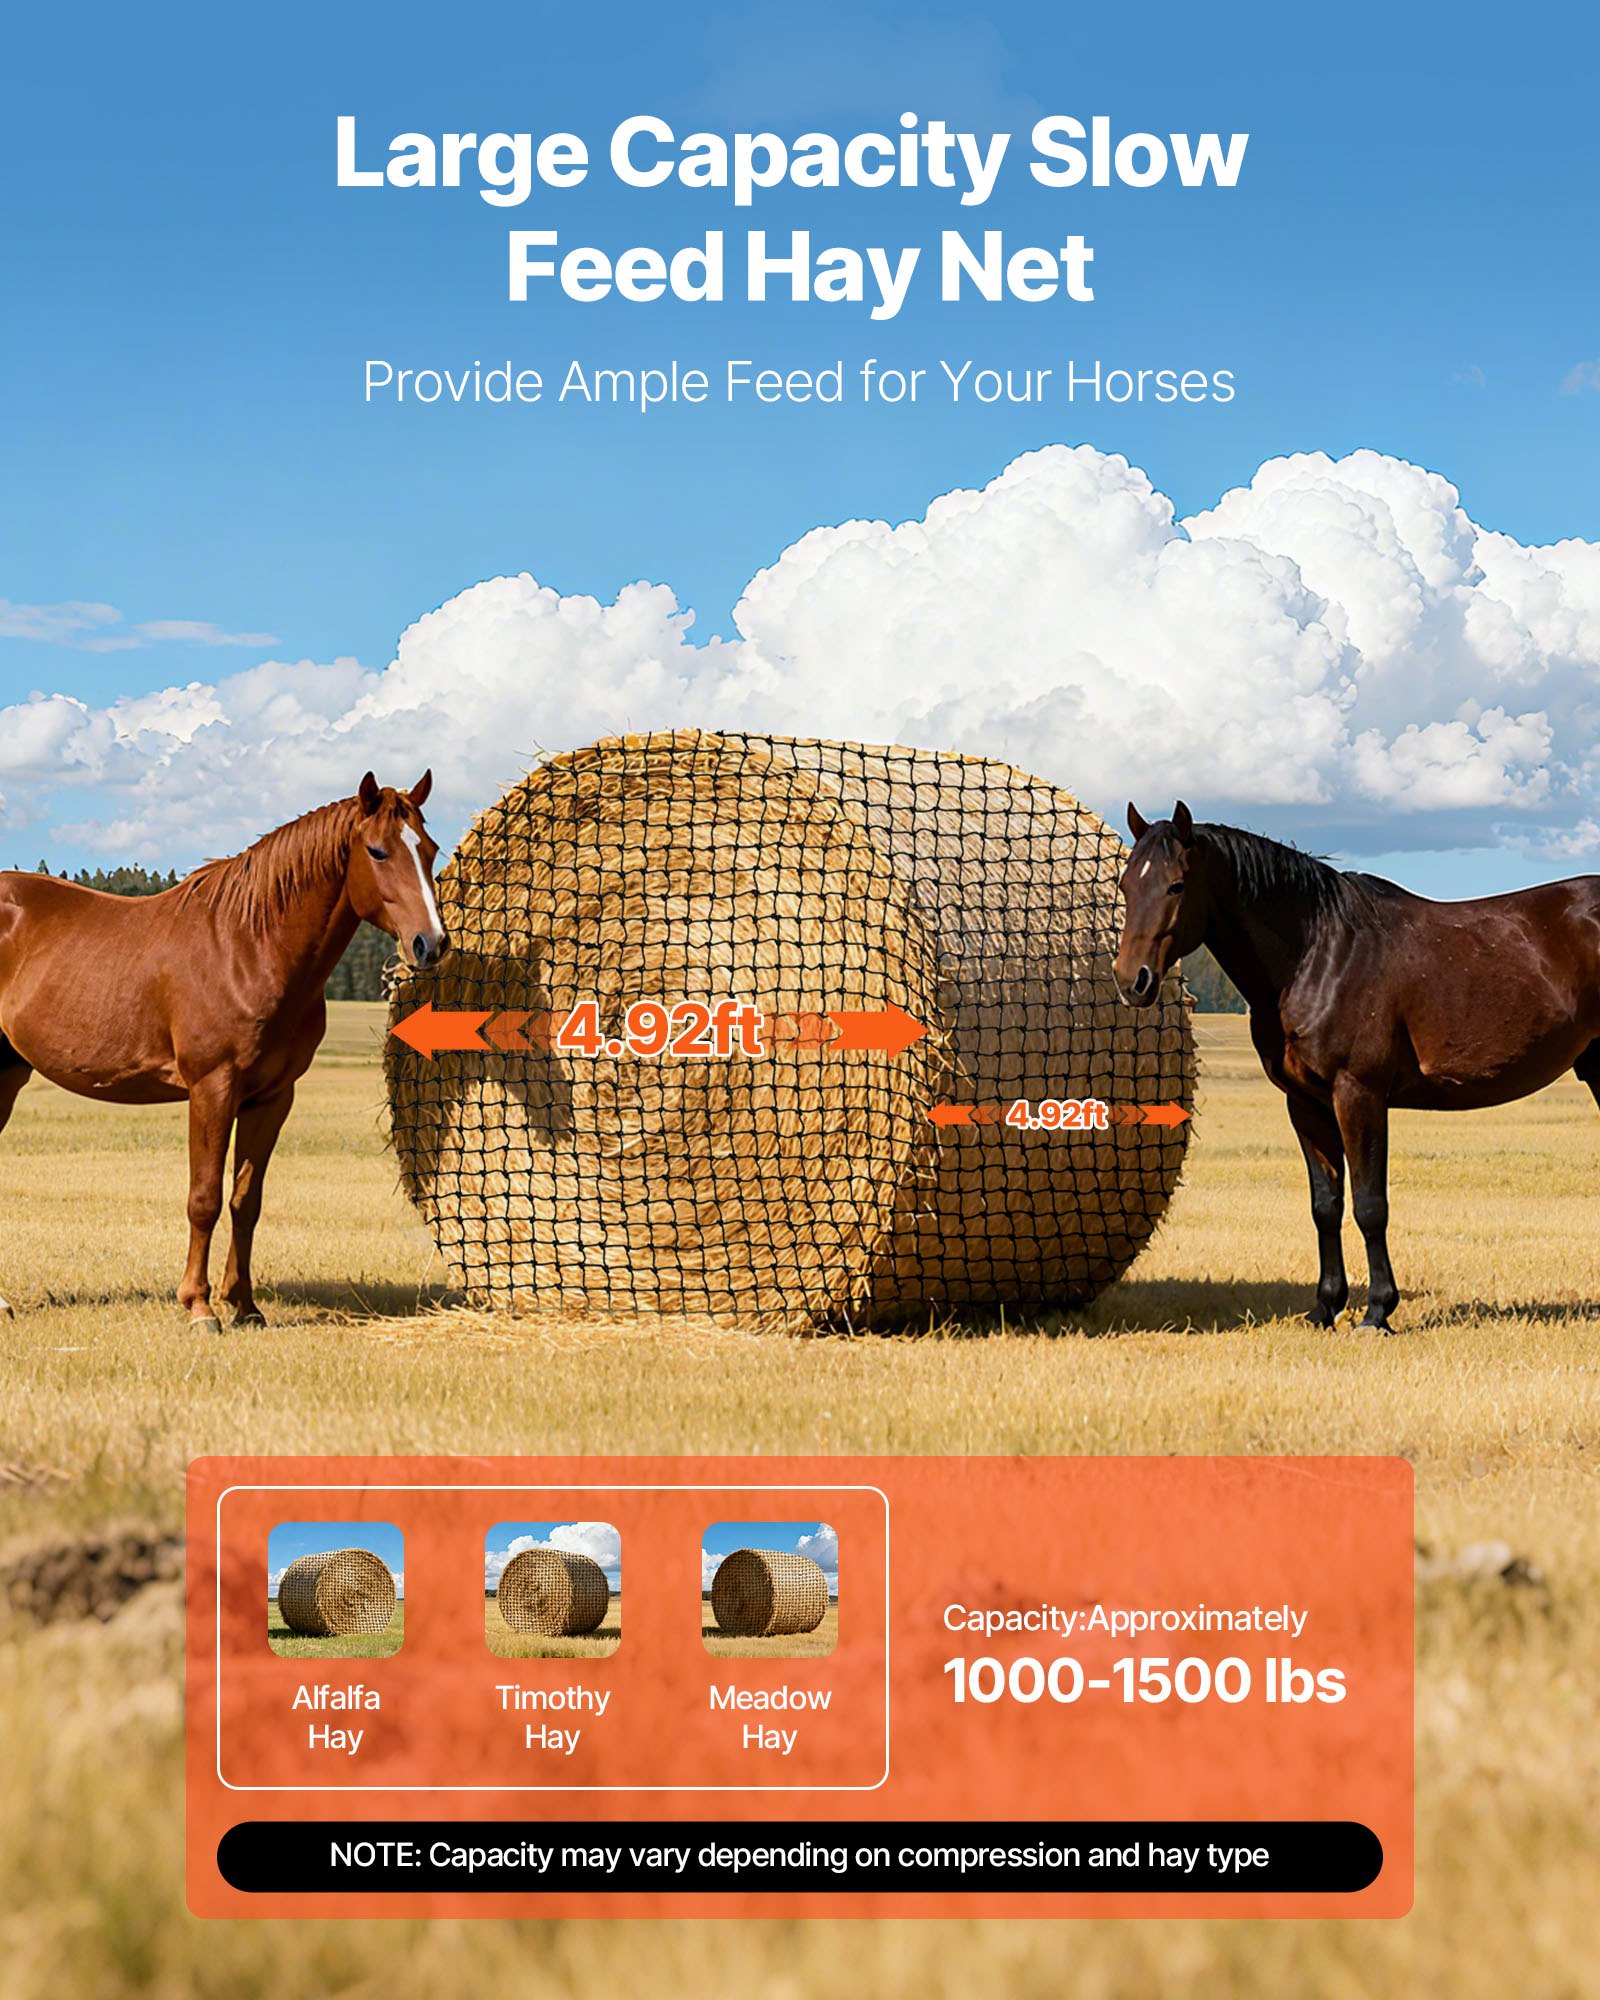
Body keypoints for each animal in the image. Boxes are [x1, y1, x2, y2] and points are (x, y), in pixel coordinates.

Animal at [0, 772, 447, 1332]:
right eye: (378, 850)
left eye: (429, 849)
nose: (431, 943)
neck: (247, 948)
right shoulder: (212, 1088)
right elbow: (204, 1198)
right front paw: (199, 1306)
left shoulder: (271, 1097)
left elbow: (244, 1201)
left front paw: (246, 1306)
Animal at [1113, 801, 1600, 1332]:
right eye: (1126, 884)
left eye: (1177, 885)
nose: (1131, 980)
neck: (1320, 955)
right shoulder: (1305, 1104)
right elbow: (1325, 1205)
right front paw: (1326, 1306)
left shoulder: (1358, 1094)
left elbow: (1370, 1204)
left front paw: (1377, 1310)